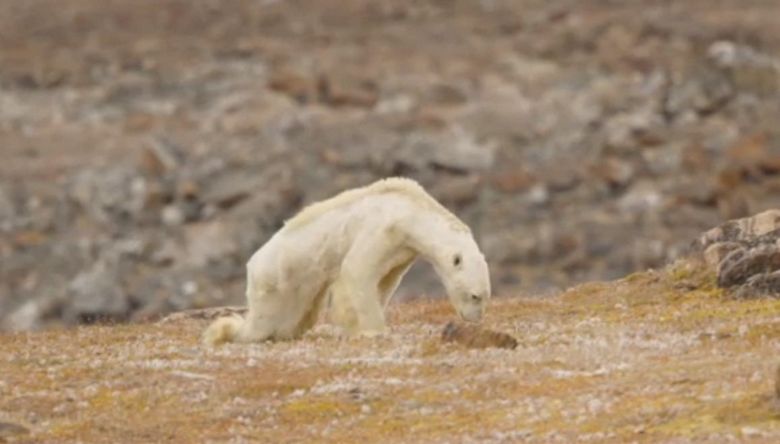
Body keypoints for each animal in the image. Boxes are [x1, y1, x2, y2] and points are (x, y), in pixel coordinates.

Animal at [204, 175, 490, 346]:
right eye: (475, 296)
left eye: (485, 296)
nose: (474, 320)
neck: (410, 211)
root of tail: (252, 265)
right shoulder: (382, 229)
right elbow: (356, 271)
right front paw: (373, 330)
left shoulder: (401, 250)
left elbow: (384, 281)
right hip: (277, 281)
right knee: (262, 323)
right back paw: (224, 332)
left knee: (293, 319)